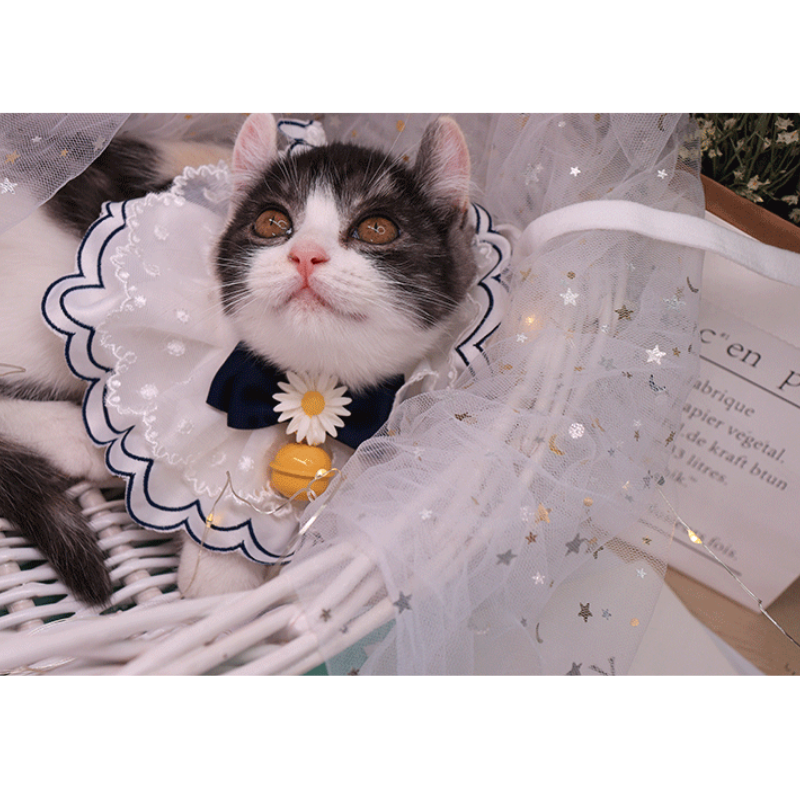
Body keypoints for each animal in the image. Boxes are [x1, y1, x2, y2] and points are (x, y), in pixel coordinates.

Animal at [0, 113, 476, 604]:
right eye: (272, 223)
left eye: (377, 229)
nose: (305, 254)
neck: (312, 388)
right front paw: (219, 572)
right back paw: (74, 437)